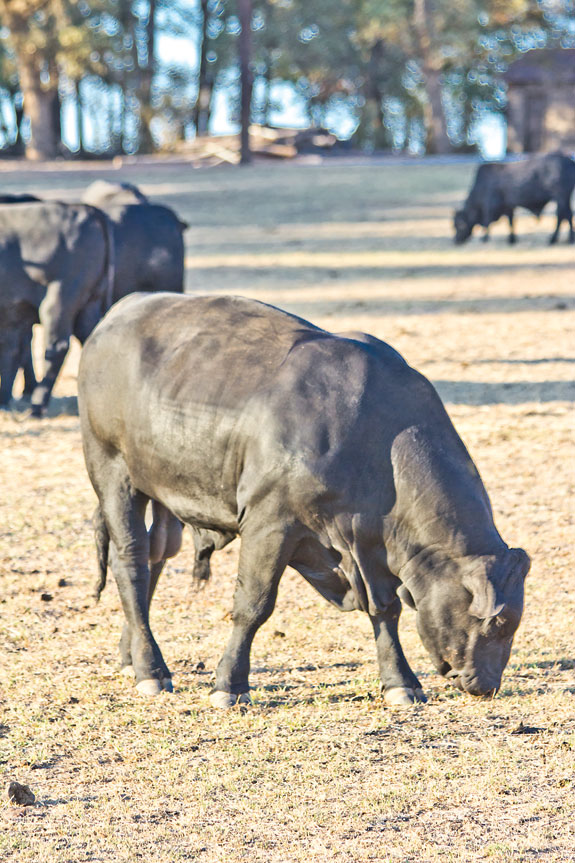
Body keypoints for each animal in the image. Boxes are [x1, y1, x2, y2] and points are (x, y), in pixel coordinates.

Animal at [78, 293, 530, 708]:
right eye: (499, 623)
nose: (486, 684)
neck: (376, 442)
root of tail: (121, 309)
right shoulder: (270, 523)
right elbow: (253, 605)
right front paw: (230, 685)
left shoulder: (371, 547)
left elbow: (385, 611)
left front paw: (400, 681)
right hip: (113, 472)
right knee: (131, 562)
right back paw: (151, 670)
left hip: (163, 491)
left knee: (155, 558)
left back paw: (132, 656)